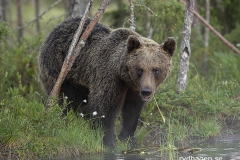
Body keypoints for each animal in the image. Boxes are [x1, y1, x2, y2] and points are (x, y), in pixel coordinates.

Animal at [38, 15, 176, 149]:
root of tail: (54, 30)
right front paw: (109, 142)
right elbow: (103, 107)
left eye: (156, 70)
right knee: (69, 101)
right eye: (139, 69)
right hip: (62, 71)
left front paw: (128, 139)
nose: (146, 91)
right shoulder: (110, 77)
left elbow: (132, 111)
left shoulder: (134, 89)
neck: (124, 76)